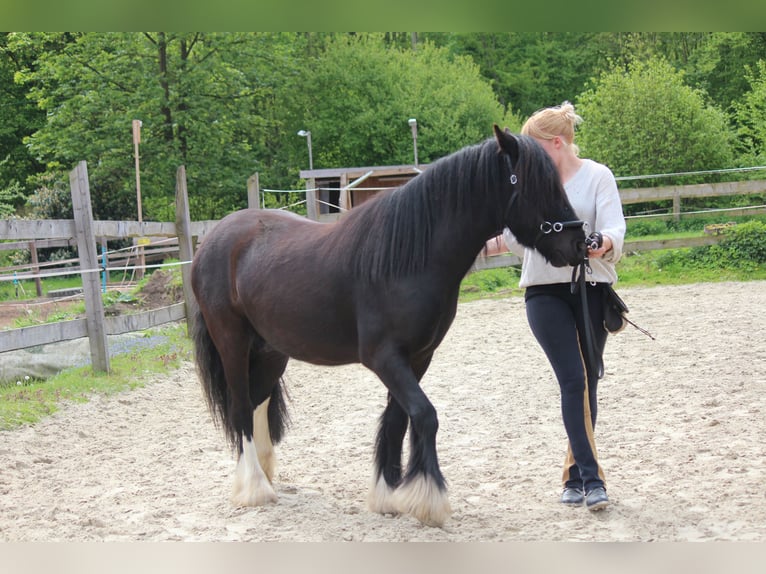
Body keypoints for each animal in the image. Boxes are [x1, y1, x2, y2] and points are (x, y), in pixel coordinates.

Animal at [190, 125, 586, 527]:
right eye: (538, 185)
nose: (580, 244)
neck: (409, 258)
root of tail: (213, 240)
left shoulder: (418, 357)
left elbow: (398, 420)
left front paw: (389, 496)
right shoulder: (384, 358)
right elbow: (425, 415)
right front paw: (428, 500)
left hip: (271, 351)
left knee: (257, 402)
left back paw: (264, 476)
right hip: (232, 342)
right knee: (240, 407)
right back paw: (254, 489)